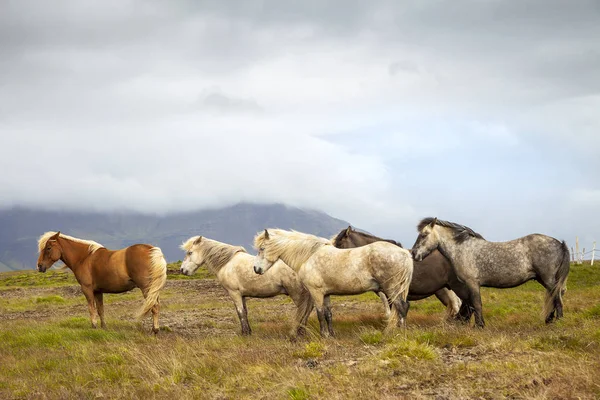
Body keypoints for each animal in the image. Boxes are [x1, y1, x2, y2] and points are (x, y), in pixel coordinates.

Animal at [36, 230, 168, 332]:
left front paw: (94, 326)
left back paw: (155, 330)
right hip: (153, 289)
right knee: (156, 306)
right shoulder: (98, 291)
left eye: (48, 248)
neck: (84, 258)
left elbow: (91, 308)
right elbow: (100, 310)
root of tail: (152, 250)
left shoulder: (87, 289)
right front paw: (103, 327)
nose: (40, 266)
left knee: (154, 306)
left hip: (147, 288)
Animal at [178, 236, 312, 336]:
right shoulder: (242, 295)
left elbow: (240, 313)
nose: (182, 270)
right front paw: (249, 331)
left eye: (190, 252)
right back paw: (302, 331)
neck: (227, 263)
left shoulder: (234, 293)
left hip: (297, 294)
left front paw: (245, 333)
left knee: (303, 310)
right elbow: (245, 312)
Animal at [253, 228, 412, 338]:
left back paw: (400, 333)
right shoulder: (326, 294)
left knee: (402, 307)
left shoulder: (316, 292)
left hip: (391, 289)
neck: (309, 256)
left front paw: (324, 335)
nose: (256, 269)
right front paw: (331, 334)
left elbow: (319, 314)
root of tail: (404, 253)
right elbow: (328, 314)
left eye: (262, 248)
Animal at [412, 219, 572, 328]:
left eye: (424, 235)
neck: (463, 249)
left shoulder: (472, 283)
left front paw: (479, 325)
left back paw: (558, 322)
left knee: (557, 298)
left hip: (549, 279)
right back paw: (549, 320)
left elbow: (476, 303)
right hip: (544, 280)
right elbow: (473, 303)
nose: (414, 254)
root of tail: (559, 243)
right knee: (553, 297)